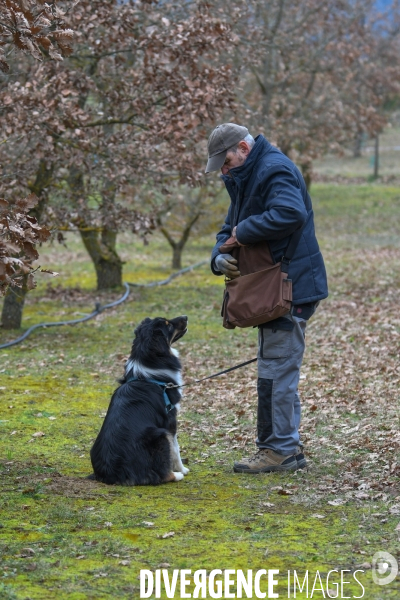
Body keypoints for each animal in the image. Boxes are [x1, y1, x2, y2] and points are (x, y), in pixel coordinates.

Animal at [90, 316, 190, 486]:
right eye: (168, 324)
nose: (186, 317)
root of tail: (113, 474)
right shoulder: (170, 421)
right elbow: (175, 449)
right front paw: (182, 469)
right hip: (159, 435)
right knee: (161, 475)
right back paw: (176, 475)